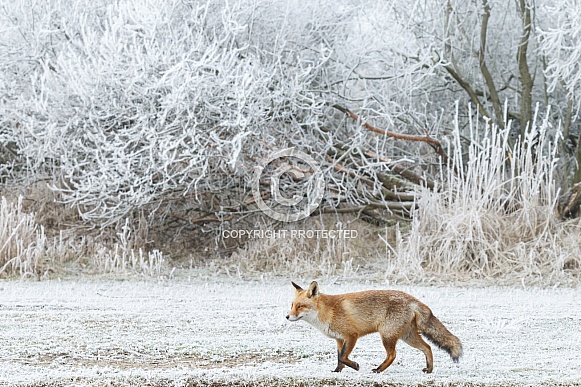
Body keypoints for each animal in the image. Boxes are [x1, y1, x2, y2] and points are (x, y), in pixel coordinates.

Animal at [286, 282, 462, 376]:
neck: (327, 311)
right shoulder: (339, 339)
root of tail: (412, 299)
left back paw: (378, 369)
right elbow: (339, 358)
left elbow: (343, 357)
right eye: (292, 305)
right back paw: (429, 369)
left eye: (300, 306)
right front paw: (337, 372)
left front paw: (355, 366)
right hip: (407, 336)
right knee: (428, 347)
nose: (287, 317)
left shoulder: (352, 335)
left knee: (393, 355)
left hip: (387, 335)